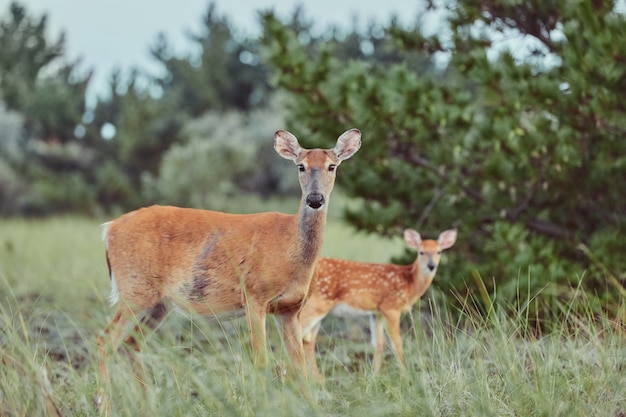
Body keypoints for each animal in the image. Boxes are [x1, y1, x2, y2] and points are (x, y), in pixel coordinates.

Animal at [94, 128, 358, 412]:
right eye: (301, 166)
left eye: (332, 166)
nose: (315, 199)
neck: (291, 250)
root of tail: (109, 229)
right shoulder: (254, 296)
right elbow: (261, 360)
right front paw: (260, 406)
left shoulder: (291, 309)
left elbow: (299, 367)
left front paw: (312, 407)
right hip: (134, 289)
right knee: (105, 340)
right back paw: (105, 407)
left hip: (158, 303)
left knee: (131, 343)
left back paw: (148, 406)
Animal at [300, 228, 456, 376]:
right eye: (421, 252)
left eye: (439, 251)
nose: (431, 266)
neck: (409, 283)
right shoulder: (391, 307)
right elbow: (397, 343)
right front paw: (405, 376)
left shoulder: (376, 312)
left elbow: (379, 343)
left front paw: (375, 375)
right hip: (316, 305)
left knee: (308, 340)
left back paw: (317, 380)